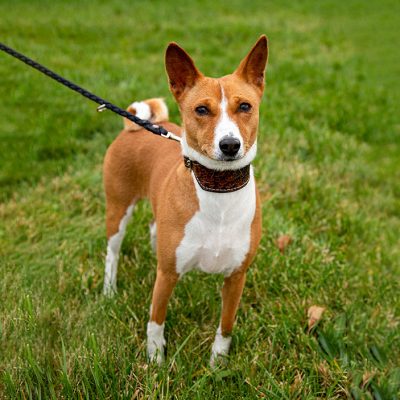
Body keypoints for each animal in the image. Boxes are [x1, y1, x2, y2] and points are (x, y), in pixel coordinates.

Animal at [102, 36, 268, 368]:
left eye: (245, 106)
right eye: (201, 109)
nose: (230, 145)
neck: (219, 191)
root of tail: (137, 123)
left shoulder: (236, 277)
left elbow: (226, 326)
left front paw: (217, 365)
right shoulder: (166, 277)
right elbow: (155, 321)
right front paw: (155, 360)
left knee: (154, 228)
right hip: (117, 210)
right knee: (112, 254)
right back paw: (109, 290)